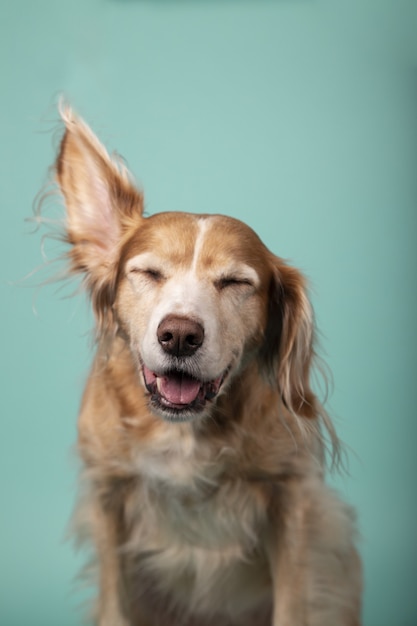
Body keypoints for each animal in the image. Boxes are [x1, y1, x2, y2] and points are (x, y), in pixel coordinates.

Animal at [43, 107, 360, 624]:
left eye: (235, 282)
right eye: (149, 273)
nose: (179, 335)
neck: (184, 432)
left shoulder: (294, 501)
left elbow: (294, 603)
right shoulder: (108, 497)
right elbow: (115, 603)